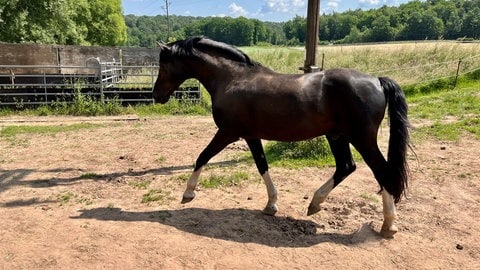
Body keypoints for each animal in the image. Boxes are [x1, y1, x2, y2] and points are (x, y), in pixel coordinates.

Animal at [153, 37, 408, 237]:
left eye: (163, 65)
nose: (156, 95)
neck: (233, 78)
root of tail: (376, 81)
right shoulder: (251, 136)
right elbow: (262, 166)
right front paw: (271, 204)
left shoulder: (227, 133)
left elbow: (202, 157)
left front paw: (188, 193)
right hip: (337, 136)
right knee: (346, 166)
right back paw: (315, 203)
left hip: (362, 139)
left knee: (381, 172)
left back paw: (388, 224)